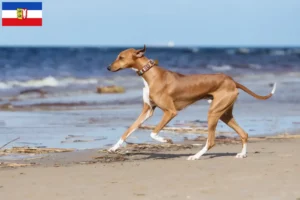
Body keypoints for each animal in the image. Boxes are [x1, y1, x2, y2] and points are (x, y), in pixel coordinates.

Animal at [106, 44, 276, 160]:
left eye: (121, 57)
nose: (107, 67)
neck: (151, 75)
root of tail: (232, 80)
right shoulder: (147, 110)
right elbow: (128, 130)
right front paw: (114, 148)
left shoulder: (170, 111)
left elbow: (153, 132)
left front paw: (166, 140)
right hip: (223, 114)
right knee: (244, 133)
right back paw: (242, 154)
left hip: (213, 113)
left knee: (211, 141)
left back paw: (196, 156)